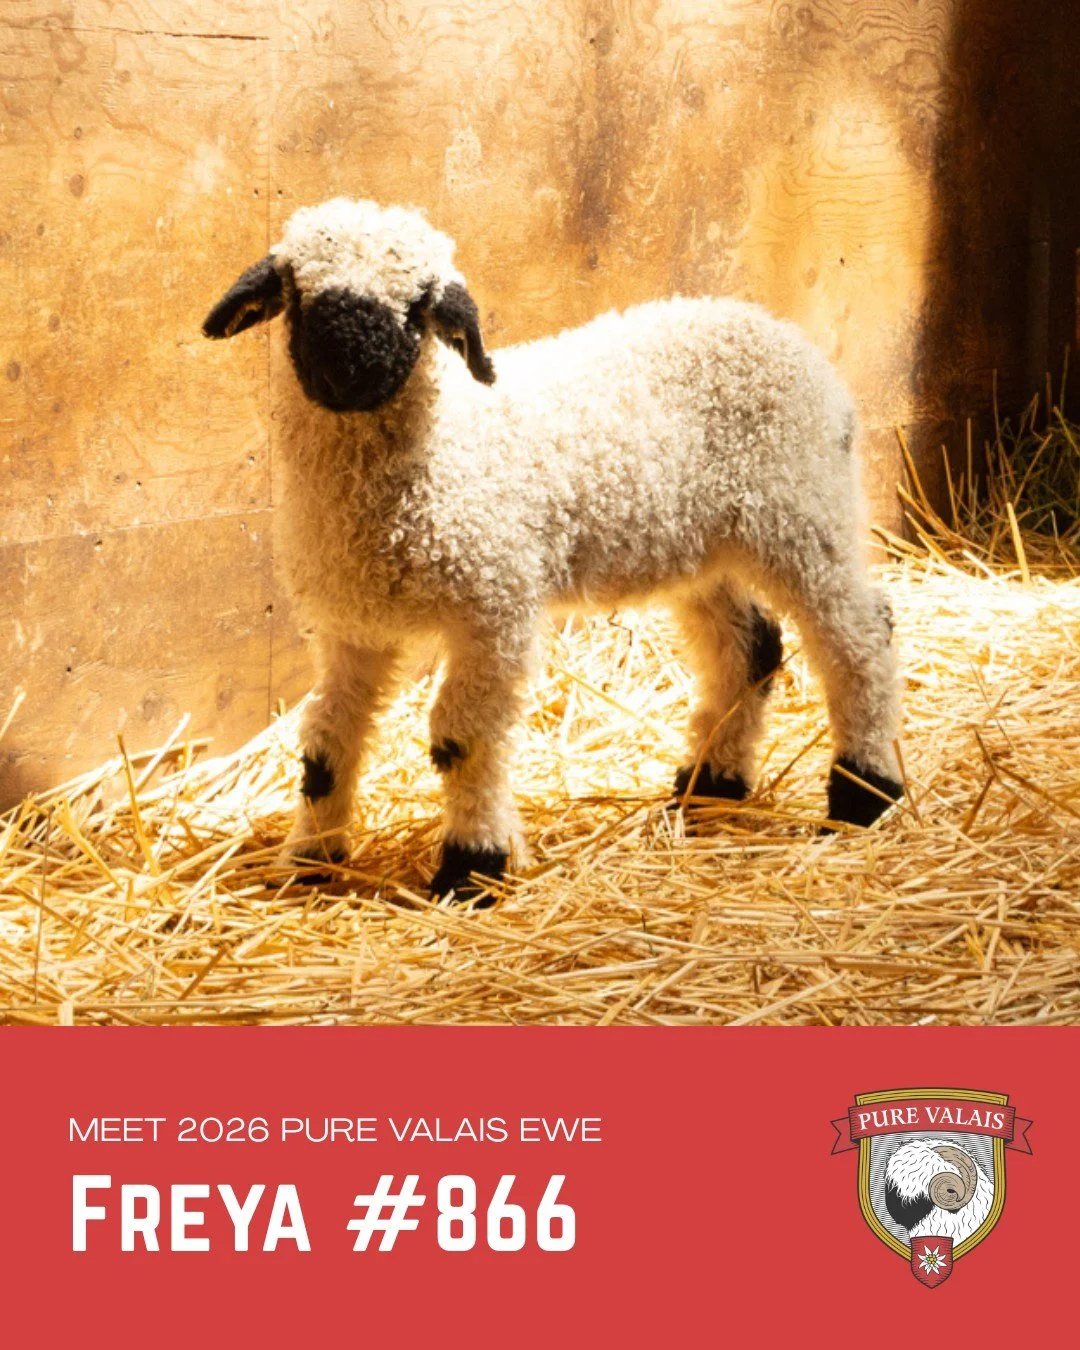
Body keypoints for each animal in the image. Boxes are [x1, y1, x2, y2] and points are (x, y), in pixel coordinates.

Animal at [203, 196, 903, 901]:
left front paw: (472, 866)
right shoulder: (353, 628)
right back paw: (710, 787)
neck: (440, 451)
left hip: (802, 511)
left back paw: (865, 794)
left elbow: (462, 738)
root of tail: (794, 342)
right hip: (701, 546)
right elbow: (327, 737)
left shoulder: (496, 604)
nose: (349, 368)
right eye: (298, 292)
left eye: (421, 304)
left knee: (859, 636)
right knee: (751, 646)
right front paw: (310, 862)